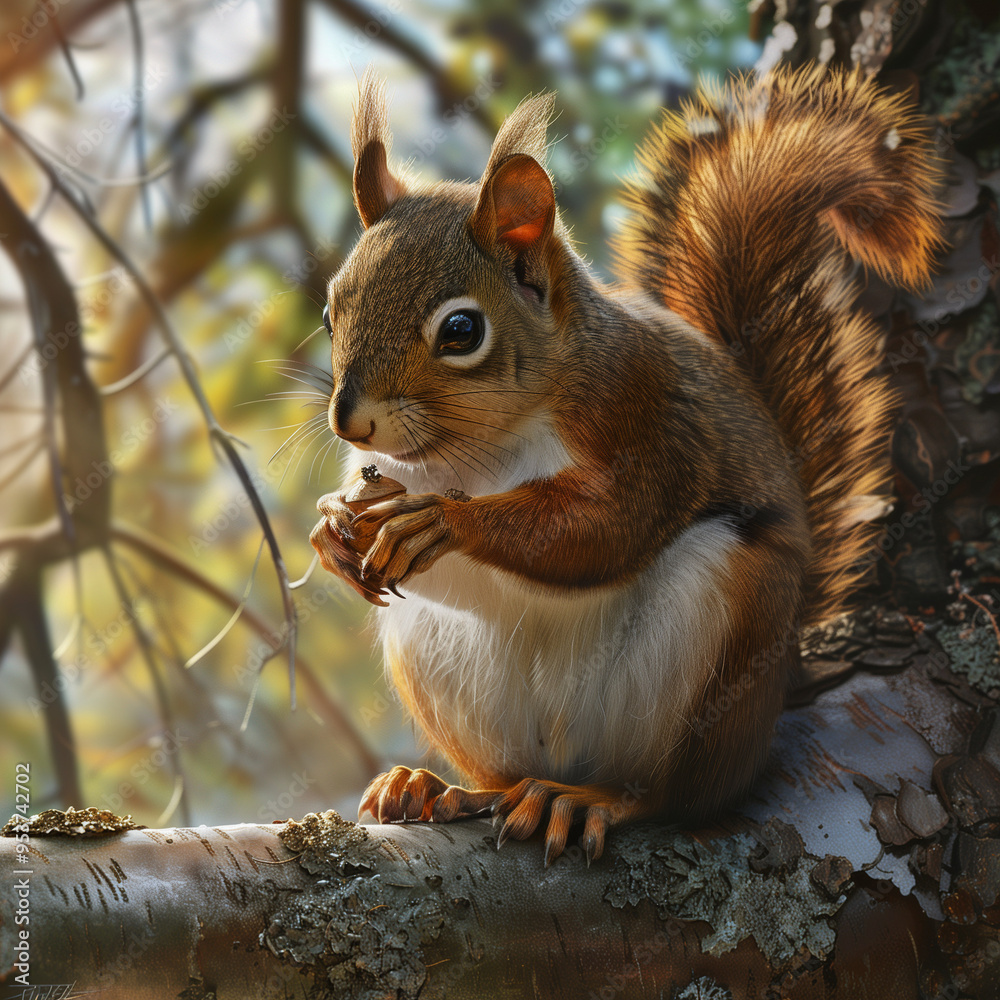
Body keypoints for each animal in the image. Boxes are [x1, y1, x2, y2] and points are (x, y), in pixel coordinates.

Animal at [309, 66, 940, 864]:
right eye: (330, 313)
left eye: (460, 331)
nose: (348, 420)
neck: (481, 448)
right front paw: (331, 529)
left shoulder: (641, 412)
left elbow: (609, 526)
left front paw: (442, 522)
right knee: (500, 775)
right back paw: (435, 787)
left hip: (725, 633)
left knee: (676, 795)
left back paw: (590, 802)